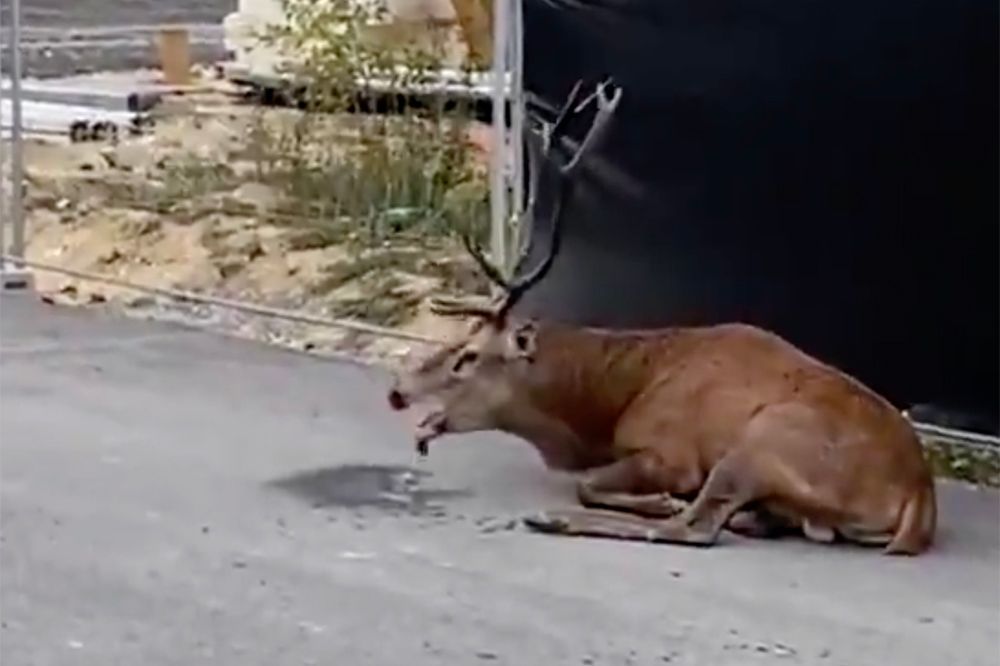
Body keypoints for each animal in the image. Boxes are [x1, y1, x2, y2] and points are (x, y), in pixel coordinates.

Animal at [384, 79, 936, 556]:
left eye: (468, 355)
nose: (397, 390)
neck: (604, 408)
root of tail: (919, 502)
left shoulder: (671, 452)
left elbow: (591, 484)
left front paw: (657, 500)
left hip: (764, 440)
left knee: (696, 528)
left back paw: (562, 518)